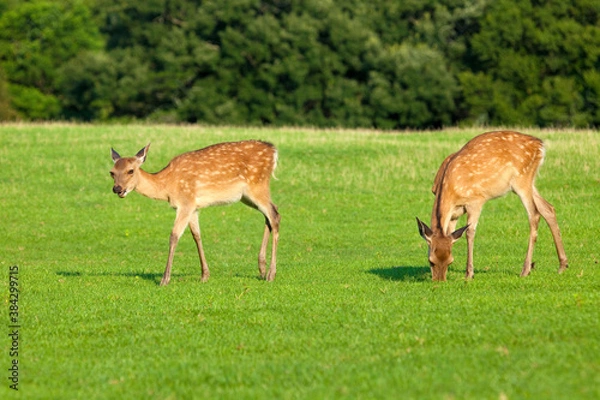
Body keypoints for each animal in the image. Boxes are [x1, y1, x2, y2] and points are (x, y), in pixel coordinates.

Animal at [109, 140, 282, 284]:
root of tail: (273, 151)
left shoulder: (185, 202)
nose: (117, 189)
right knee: (269, 215)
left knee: (274, 215)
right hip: (246, 196)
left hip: (257, 186)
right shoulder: (193, 207)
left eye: (131, 171)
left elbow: (174, 236)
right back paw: (262, 268)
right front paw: (205, 275)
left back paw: (271, 274)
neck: (167, 186)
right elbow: (196, 235)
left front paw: (165, 279)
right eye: (112, 172)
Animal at [418, 131, 568, 282]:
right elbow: (451, 233)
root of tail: (541, 146)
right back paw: (562, 265)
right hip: (527, 183)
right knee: (548, 208)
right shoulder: (455, 212)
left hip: (522, 179)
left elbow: (470, 232)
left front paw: (469, 274)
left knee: (534, 214)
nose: (439, 281)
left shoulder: (476, 201)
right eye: (431, 261)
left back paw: (526, 270)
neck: (450, 189)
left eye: (450, 261)